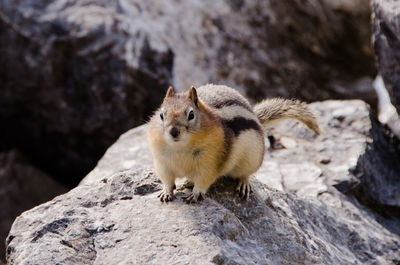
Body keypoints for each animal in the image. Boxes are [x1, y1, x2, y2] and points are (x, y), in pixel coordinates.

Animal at [146, 84, 318, 202]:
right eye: (161, 115)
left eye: (191, 114)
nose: (173, 131)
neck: (180, 146)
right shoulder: (162, 163)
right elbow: (167, 180)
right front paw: (166, 192)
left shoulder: (210, 162)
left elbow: (203, 180)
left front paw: (196, 194)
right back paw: (187, 182)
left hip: (252, 159)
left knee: (246, 173)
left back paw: (243, 184)